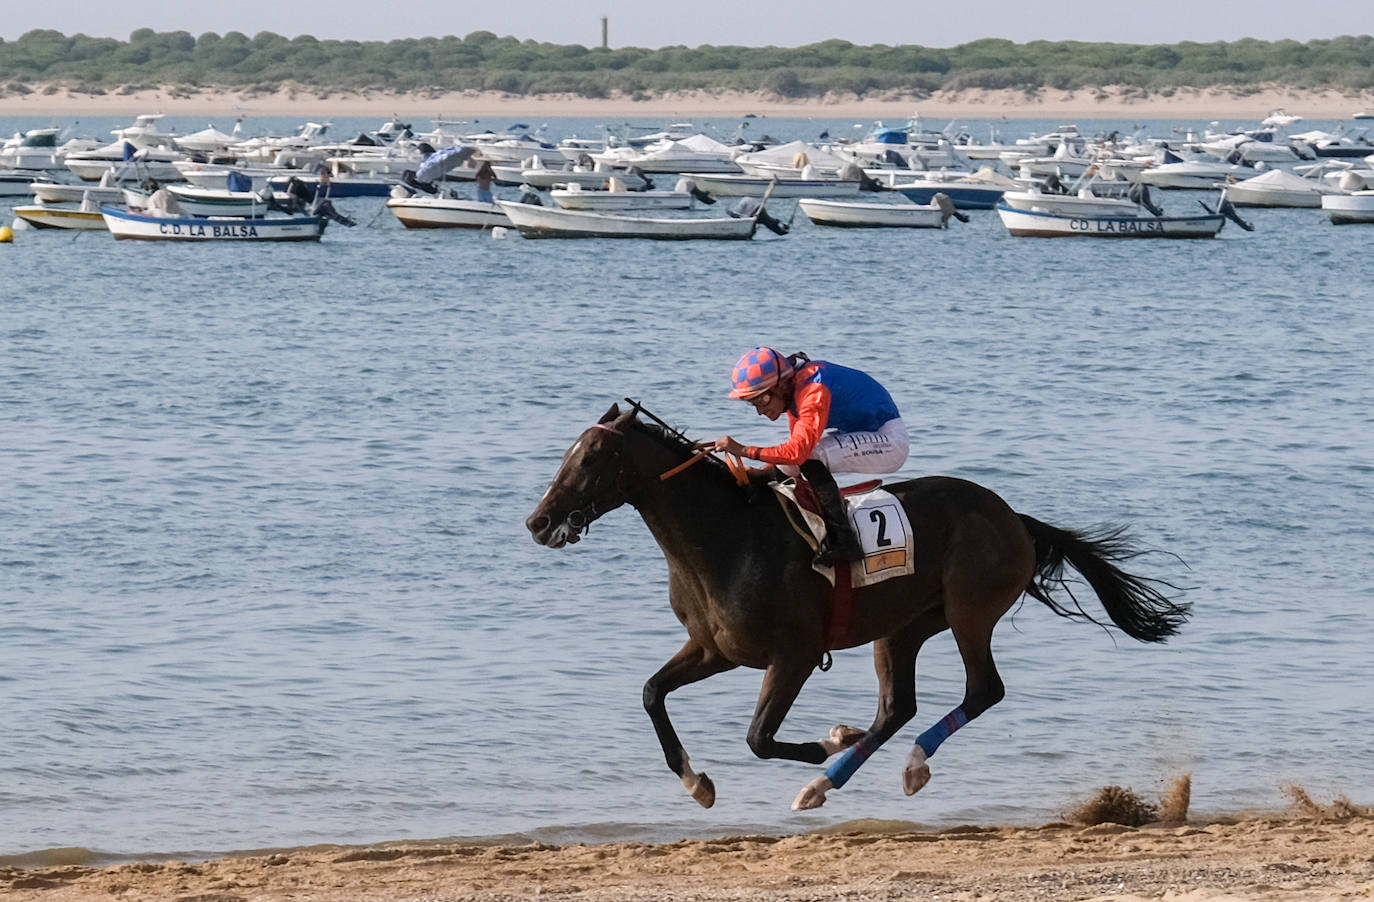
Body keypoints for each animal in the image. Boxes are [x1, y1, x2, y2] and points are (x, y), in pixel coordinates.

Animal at [525, 402, 1190, 811]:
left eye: (590, 459)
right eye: (569, 452)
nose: (538, 522)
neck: (725, 540)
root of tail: (1014, 518)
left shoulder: (792, 655)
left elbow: (759, 738)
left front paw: (823, 745)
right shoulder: (715, 647)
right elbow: (651, 694)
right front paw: (698, 783)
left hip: (970, 611)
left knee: (982, 690)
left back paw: (893, 764)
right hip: (900, 628)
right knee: (896, 707)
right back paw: (830, 774)